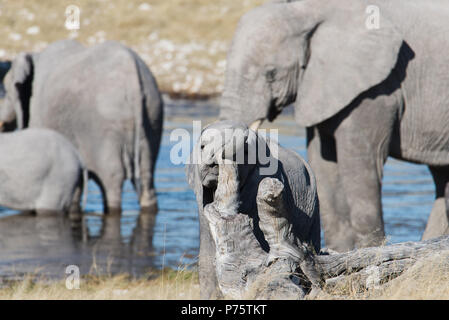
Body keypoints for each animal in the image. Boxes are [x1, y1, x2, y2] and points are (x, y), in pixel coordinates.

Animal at [0, 40, 164, 215]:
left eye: (7, 92)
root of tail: (132, 75)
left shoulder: (38, 110)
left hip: (103, 126)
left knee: (112, 181)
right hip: (152, 116)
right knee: (147, 176)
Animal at [219, 0, 448, 251]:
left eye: (271, 73)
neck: (310, 10)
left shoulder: (378, 90)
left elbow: (361, 165)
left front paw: (371, 250)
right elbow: (323, 167)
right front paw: (340, 252)